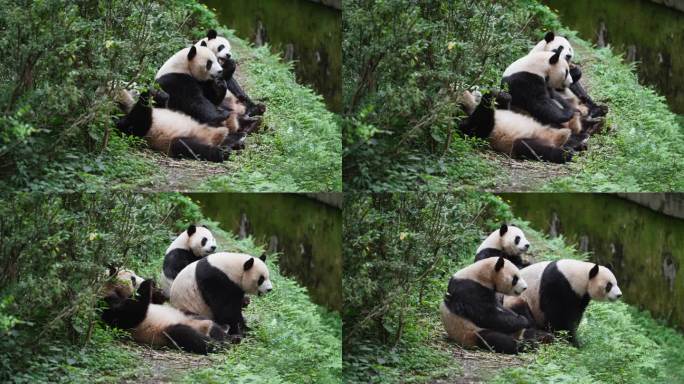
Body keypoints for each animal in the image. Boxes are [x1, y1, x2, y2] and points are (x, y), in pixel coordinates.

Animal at [116, 88, 244, 162]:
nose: (134, 90)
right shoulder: (132, 127)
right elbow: (138, 126)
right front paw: (146, 94)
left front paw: (159, 94)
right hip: (176, 141)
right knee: (187, 146)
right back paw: (223, 152)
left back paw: (237, 141)